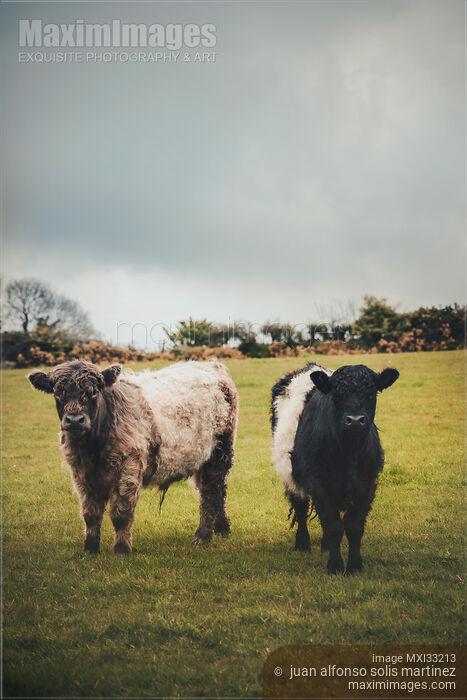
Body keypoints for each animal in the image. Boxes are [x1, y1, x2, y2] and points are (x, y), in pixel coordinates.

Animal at [28, 360, 238, 555]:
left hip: (219, 452)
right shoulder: (80, 475)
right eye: (57, 393)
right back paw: (221, 530)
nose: (74, 420)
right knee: (216, 491)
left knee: (211, 492)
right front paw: (90, 549)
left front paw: (122, 549)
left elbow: (121, 512)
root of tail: (212, 365)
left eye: (94, 392)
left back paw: (202, 536)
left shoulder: (127, 468)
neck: (92, 450)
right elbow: (90, 514)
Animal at [271, 363, 399, 574]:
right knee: (301, 508)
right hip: (290, 476)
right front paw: (336, 566)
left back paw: (324, 546)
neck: (349, 453)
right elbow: (333, 526)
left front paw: (355, 566)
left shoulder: (368, 484)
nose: (355, 420)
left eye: (371, 394)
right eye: (336, 395)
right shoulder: (319, 484)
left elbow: (354, 527)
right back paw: (303, 544)